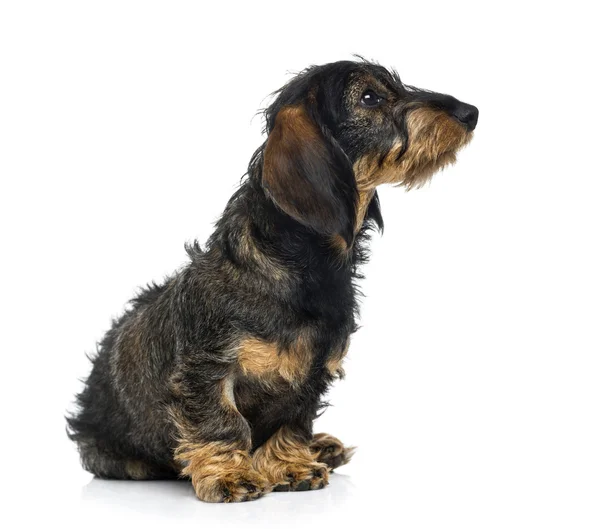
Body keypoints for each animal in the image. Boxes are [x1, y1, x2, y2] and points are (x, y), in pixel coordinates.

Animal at [67, 59, 478, 502]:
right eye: (370, 97)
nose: (470, 113)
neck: (302, 265)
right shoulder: (205, 369)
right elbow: (222, 421)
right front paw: (230, 474)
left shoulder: (311, 373)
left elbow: (292, 420)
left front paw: (289, 465)